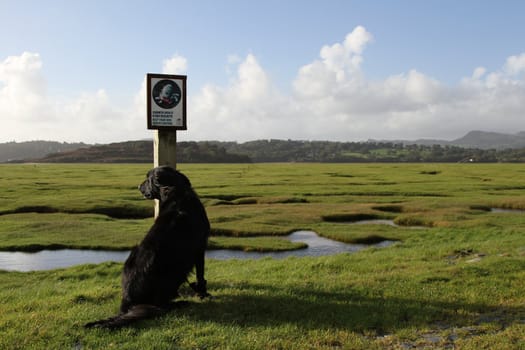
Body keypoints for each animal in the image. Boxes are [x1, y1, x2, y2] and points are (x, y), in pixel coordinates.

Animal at [85, 166, 210, 328]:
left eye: (148, 179)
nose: (138, 186)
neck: (177, 194)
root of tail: (128, 302)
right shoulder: (200, 248)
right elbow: (201, 276)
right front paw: (203, 294)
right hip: (170, 274)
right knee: (160, 306)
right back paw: (179, 303)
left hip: (133, 255)